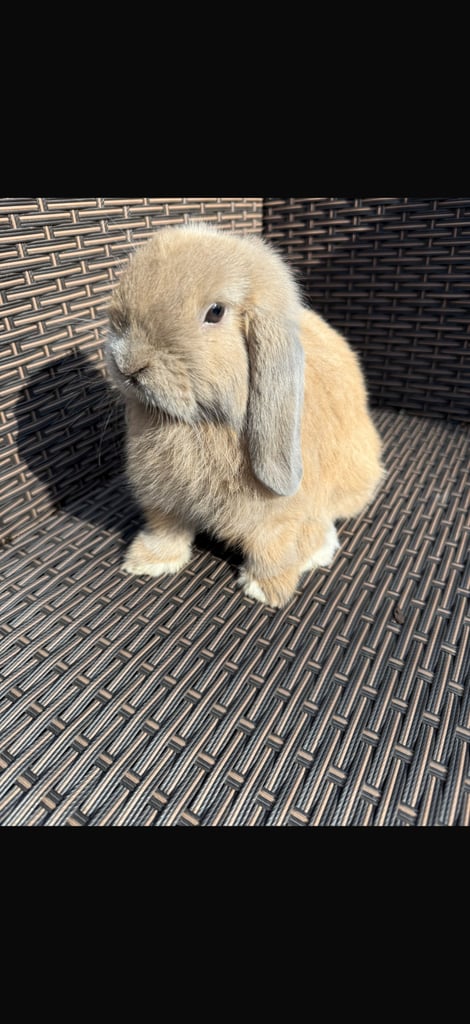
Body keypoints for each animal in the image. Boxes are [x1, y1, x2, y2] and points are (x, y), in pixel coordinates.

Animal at [106, 221, 385, 608]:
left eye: (215, 312)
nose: (128, 362)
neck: (199, 422)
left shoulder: (276, 516)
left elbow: (273, 547)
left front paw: (267, 589)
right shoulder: (164, 500)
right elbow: (165, 530)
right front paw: (148, 562)